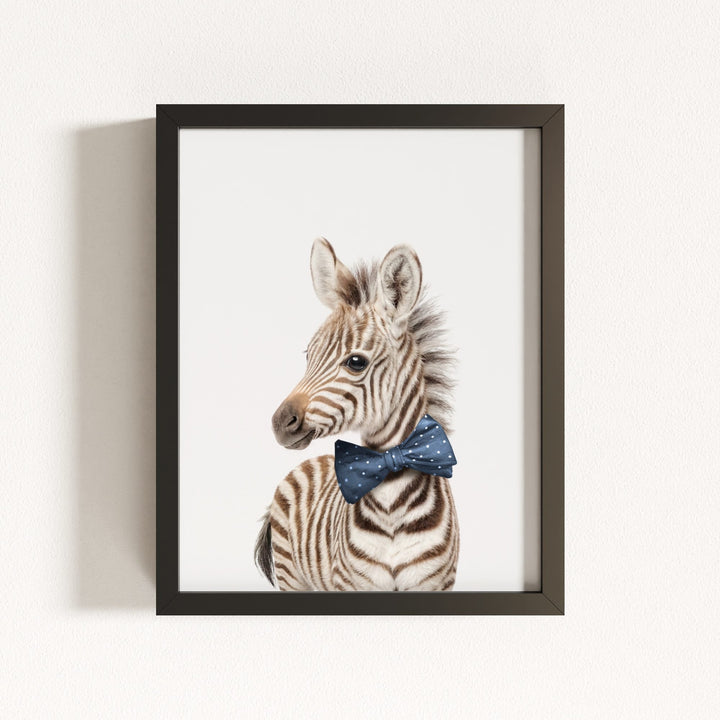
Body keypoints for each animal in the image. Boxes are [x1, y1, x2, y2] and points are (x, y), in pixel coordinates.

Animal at [254, 237, 458, 591]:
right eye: (308, 355)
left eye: (356, 362)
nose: (280, 423)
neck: (392, 502)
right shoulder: (352, 583)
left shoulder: (435, 583)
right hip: (292, 575)